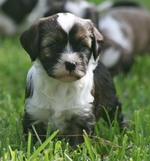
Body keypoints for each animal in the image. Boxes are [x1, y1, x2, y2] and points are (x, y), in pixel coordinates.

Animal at [20, 12, 124, 147]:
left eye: (81, 46)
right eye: (54, 45)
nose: (71, 64)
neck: (61, 85)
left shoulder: (81, 117)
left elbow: (78, 142)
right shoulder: (34, 114)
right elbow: (34, 140)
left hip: (110, 101)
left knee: (117, 116)